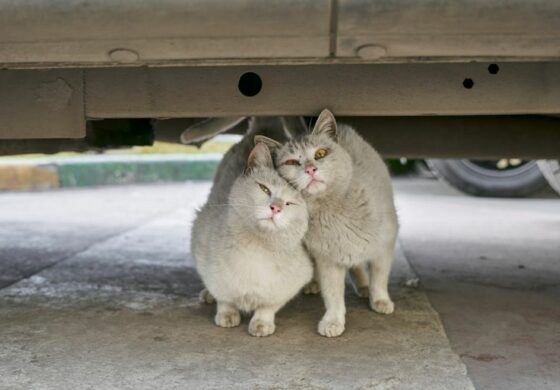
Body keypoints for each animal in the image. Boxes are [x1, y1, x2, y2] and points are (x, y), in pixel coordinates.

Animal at [191, 142, 316, 336]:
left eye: (290, 203)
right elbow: (224, 297)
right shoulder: (203, 251)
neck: (256, 247)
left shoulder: (290, 282)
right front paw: (227, 314)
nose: (275, 208)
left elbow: (268, 305)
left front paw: (261, 323)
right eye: (264, 189)